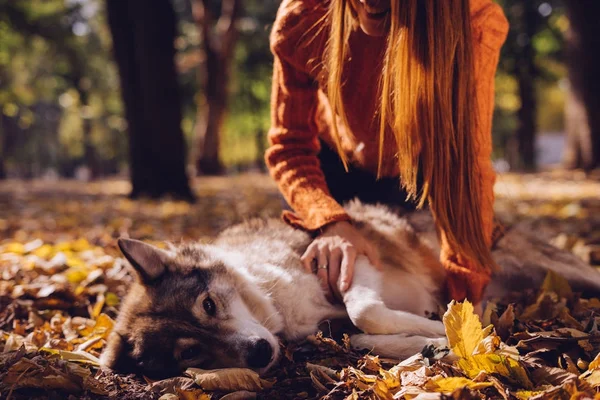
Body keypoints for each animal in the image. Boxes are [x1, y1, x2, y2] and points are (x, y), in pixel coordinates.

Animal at [101, 203, 600, 378]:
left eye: (208, 305)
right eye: (191, 353)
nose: (260, 354)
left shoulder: (349, 262)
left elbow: (365, 312)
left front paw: (438, 324)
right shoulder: (327, 325)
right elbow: (360, 335)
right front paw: (433, 343)